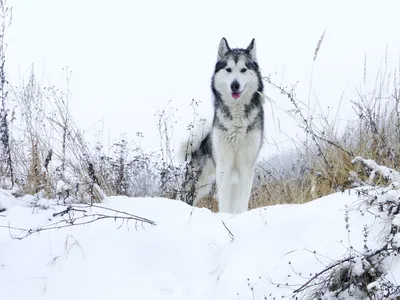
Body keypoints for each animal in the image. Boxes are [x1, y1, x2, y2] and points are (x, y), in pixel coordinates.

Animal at [180, 38, 264, 213]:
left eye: (243, 69)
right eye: (229, 69)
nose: (235, 85)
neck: (237, 121)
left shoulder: (246, 166)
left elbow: (242, 202)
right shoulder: (224, 164)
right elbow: (224, 201)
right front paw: (225, 216)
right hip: (199, 184)